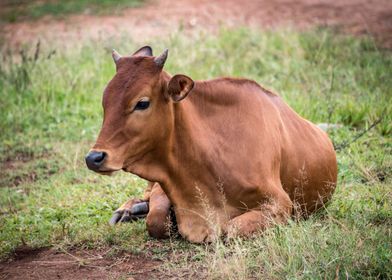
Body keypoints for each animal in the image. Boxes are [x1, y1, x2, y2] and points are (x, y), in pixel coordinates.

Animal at [85, 46, 336, 243]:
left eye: (142, 103)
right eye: (105, 102)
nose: (93, 158)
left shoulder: (281, 204)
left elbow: (231, 229)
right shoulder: (165, 186)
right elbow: (156, 221)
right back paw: (129, 209)